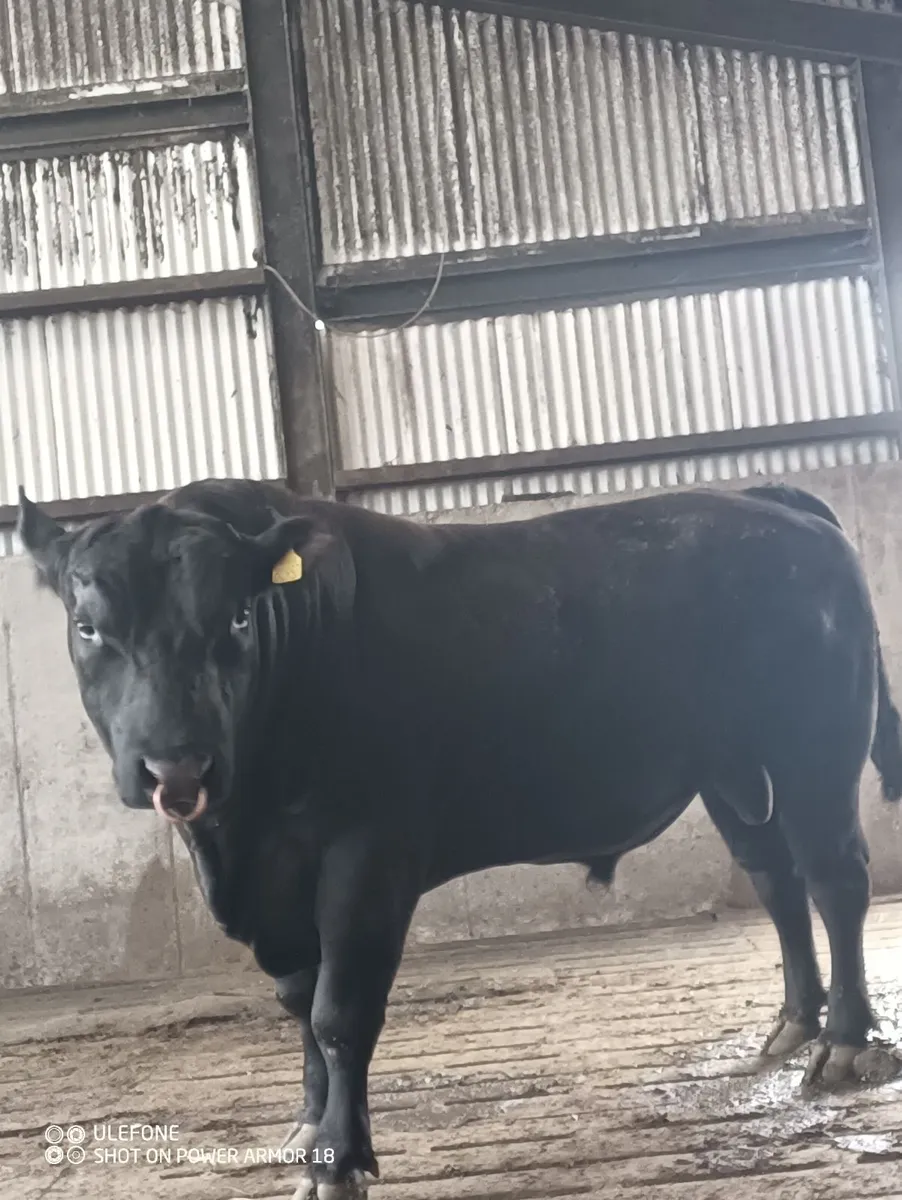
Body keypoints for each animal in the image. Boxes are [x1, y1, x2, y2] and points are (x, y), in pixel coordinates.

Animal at [17, 477, 902, 1199]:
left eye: (235, 616)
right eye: (88, 627)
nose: (177, 764)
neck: (243, 832)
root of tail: (768, 500)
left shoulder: (367, 855)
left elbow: (340, 1012)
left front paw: (341, 1161)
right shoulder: (279, 882)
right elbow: (299, 1005)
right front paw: (308, 1129)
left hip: (815, 742)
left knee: (836, 879)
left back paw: (844, 1044)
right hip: (732, 769)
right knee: (776, 879)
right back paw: (793, 1023)